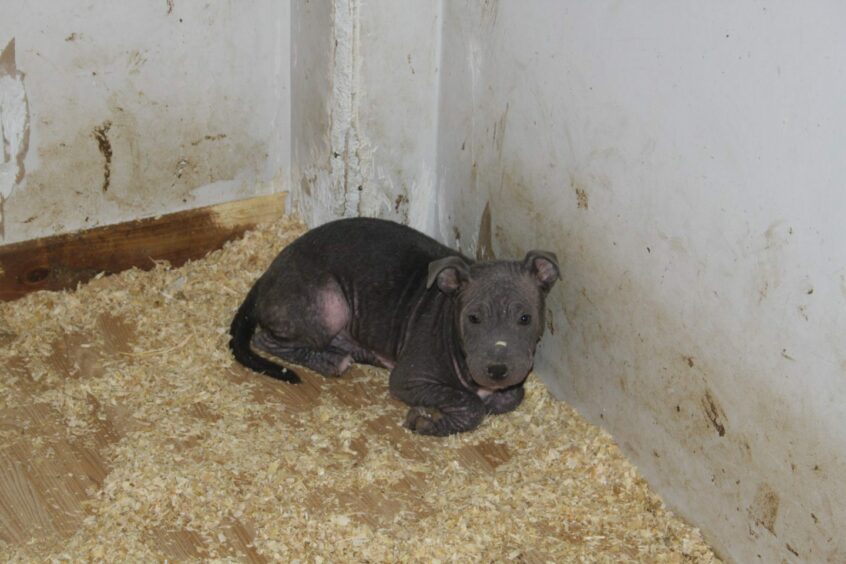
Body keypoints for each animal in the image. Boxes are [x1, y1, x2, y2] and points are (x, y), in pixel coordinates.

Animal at [230, 217, 564, 436]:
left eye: (525, 318)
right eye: (473, 318)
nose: (497, 370)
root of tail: (267, 274)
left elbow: (511, 396)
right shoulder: (408, 380)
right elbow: (468, 402)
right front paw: (431, 421)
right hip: (329, 304)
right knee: (265, 340)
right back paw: (330, 360)